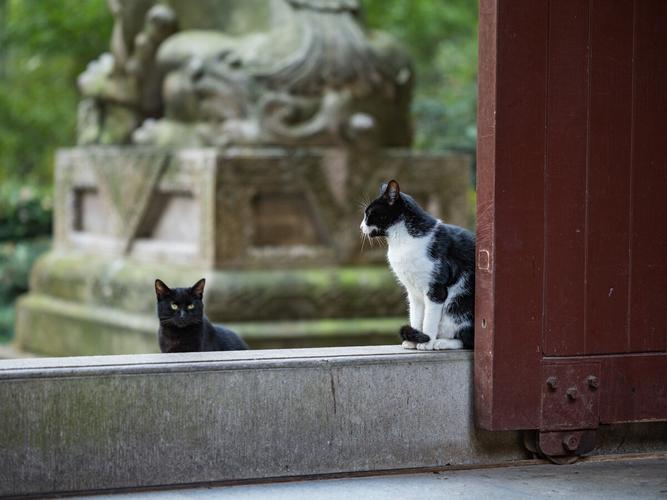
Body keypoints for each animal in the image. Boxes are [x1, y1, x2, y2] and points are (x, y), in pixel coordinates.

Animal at [360, 182, 474, 350]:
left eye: (370, 213)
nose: (361, 227)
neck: (401, 241)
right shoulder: (413, 292)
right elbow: (416, 316)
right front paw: (413, 341)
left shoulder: (436, 289)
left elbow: (429, 320)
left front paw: (427, 341)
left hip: (458, 306)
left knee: (468, 340)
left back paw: (442, 342)